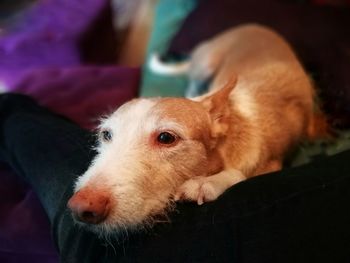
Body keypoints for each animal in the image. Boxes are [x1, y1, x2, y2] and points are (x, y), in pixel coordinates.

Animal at [67, 23, 328, 232]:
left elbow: (240, 174)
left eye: (166, 138)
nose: (81, 208)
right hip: (206, 65)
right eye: (106, 135)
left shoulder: (273, 163)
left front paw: (207, 183)